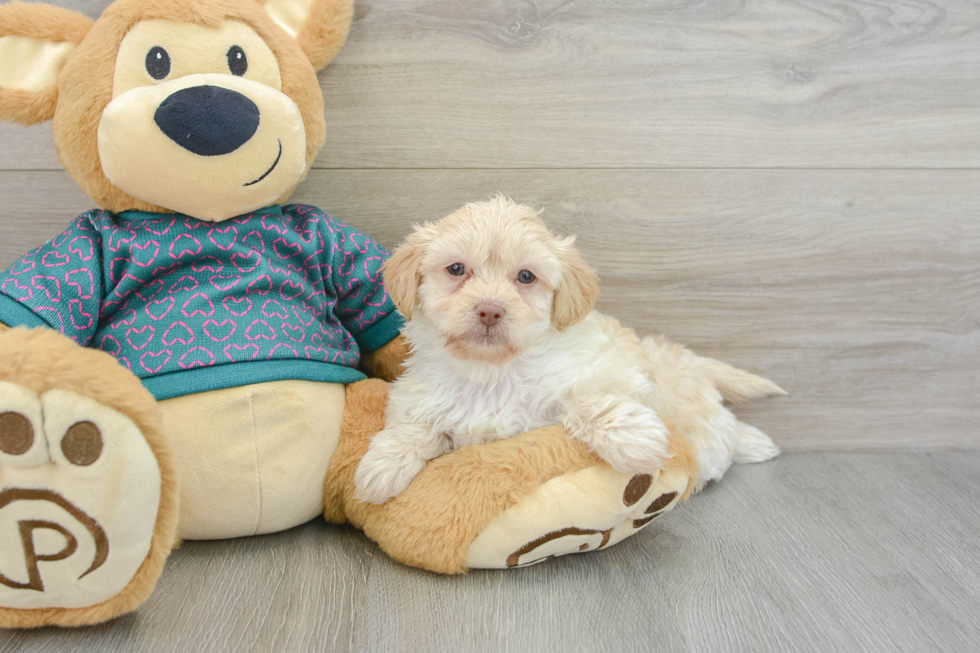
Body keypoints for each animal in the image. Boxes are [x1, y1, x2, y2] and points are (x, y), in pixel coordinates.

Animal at [352, 196, 780, 502]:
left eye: (526, 276)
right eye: (456, 269)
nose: (490, 309)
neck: (491, 372)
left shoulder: (614, 370)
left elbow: (589, 400)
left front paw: (634, 440)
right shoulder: (421, 402)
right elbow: (413, 427)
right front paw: (380, 468)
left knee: (722, 431)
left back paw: (751, 442)